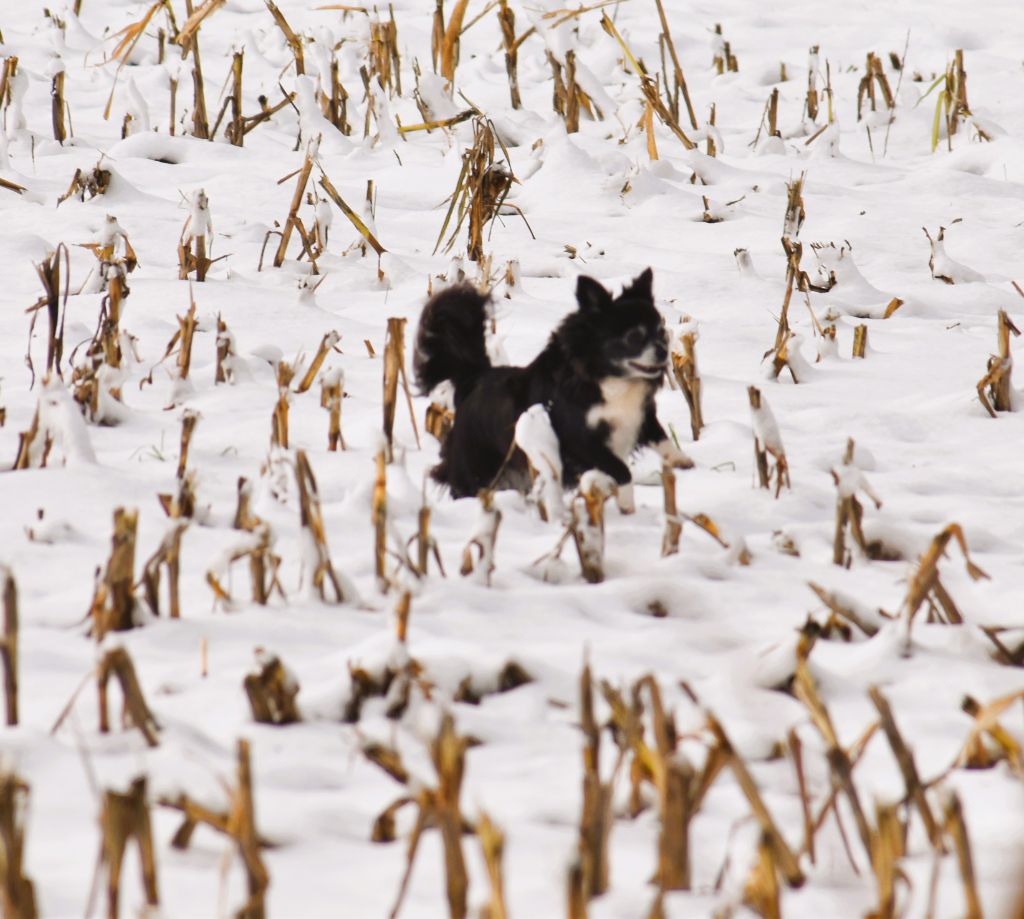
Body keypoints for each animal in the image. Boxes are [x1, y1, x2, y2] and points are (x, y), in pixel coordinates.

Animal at [411, 268, 692, 506]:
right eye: (633, 337)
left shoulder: (640, 417)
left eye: (661, 333)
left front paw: (681, 461)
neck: (608, 380)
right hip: (476, 470)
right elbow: (621, 470)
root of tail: (475, 377)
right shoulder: (579, 440)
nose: (662, 351)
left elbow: (660, 436)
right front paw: (626, 504)